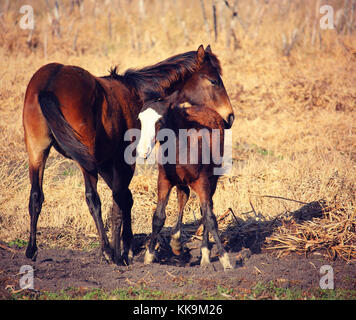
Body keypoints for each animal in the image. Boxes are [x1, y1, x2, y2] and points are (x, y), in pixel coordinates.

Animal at [137, 92, 234, 270]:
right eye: (140, 119)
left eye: (160, 120)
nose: (142, 150)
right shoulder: (164, 180)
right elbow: (158, 217)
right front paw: (149, 256)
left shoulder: (202, 182)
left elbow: (210, 218)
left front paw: (225, 260)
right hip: (181, 182)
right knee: (183, 198)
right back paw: (176, 242)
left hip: (212, 179)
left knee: (205, 209)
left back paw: (205, 255)